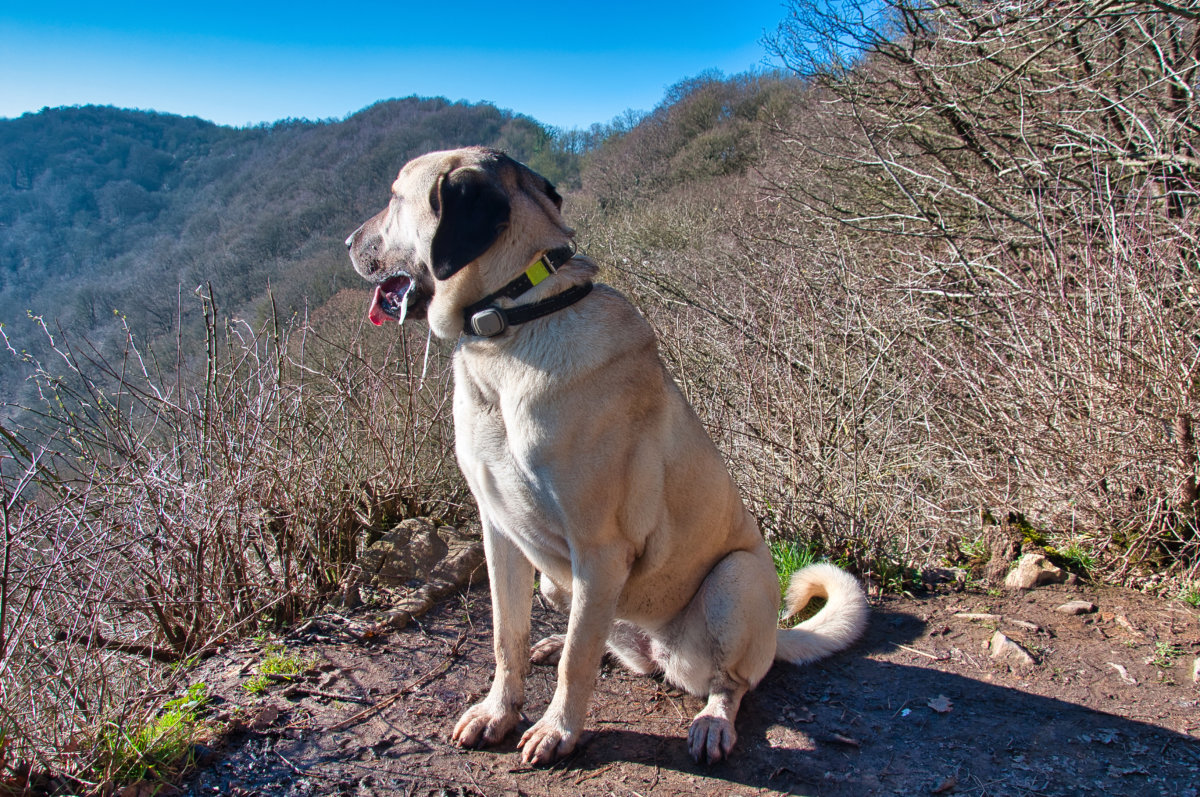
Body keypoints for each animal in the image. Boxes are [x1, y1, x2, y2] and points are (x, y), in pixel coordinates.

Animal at [343, 146, 868, 763]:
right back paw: (554, 640)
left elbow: (576, 664)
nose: (348, 241)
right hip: (563, 585)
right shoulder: (499, 533)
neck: (516, 318)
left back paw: (712, 721)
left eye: (395, 197)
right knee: (598, 644)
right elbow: (505, 636)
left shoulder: (599, 548)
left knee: (727, 682)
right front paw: (500, 710)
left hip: (733, 581)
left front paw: (557, 729)